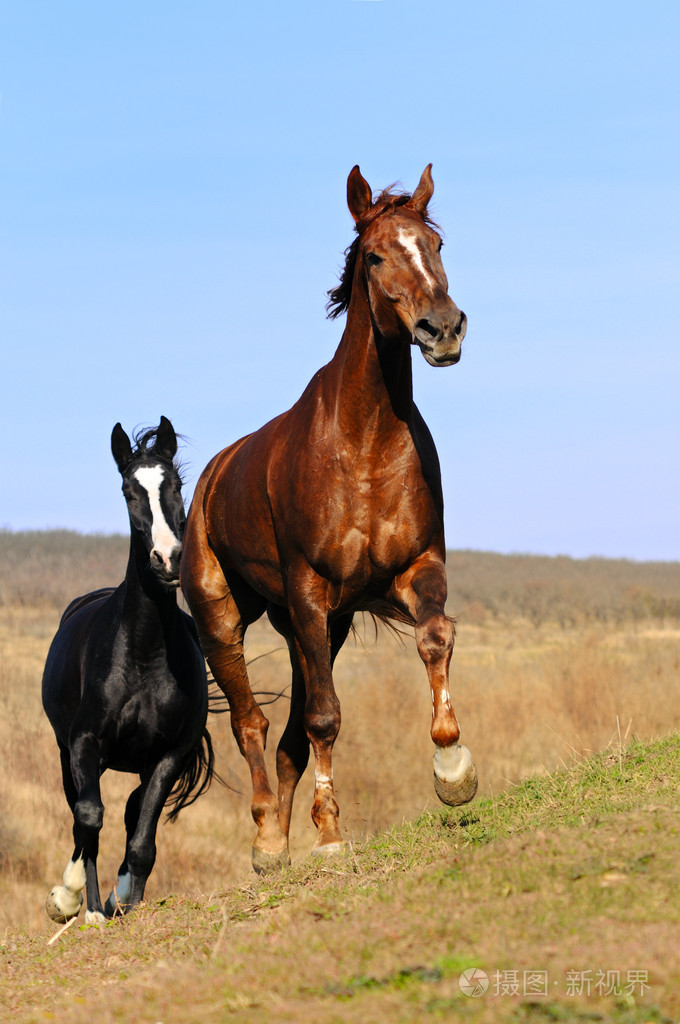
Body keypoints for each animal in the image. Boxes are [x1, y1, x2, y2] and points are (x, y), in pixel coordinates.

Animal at [43, 415, 213, 929]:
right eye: (127, 490)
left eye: (177, 484)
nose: (168, 559)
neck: (143, 652)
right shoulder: (84, 743)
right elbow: (88, 818)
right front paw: (73, 899)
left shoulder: (168, 756)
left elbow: (141, 840)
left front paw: (127, 902)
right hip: (68, 754)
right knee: (84, 817)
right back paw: (86, 906)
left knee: (132, 814)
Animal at [182, 161, 477, 872]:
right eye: (374, 255)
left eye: (437, 244)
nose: (443, 329)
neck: (364, 443)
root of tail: (210, 476)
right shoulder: (309, 589)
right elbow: (324, 717)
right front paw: (331, 835)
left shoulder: (413, 569)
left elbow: (435, 638)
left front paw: (453, 767)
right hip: (225, 618)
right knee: (251, 722)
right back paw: (267, 839)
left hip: (312, 627)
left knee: (287, 733)